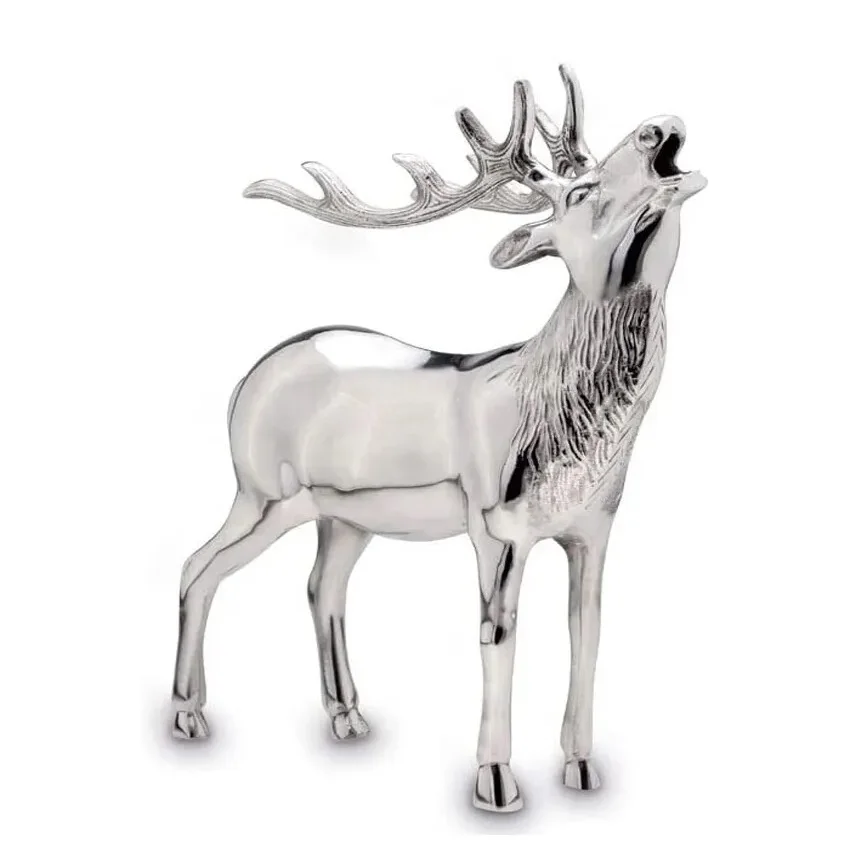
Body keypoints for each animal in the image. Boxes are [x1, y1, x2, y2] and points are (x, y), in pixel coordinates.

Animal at [170, 64, 705, 813]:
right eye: (581, 191)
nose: (658, 127)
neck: (563, 423)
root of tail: (247, 379)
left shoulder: (595, 526)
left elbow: (588, 630)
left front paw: (581, 766)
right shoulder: (494, 524)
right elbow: (497, 634)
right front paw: (496, 782)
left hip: (344, 514)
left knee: (321, 586)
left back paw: (347, 715)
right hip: (262, 491)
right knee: (197, 566)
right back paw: (189, 714)